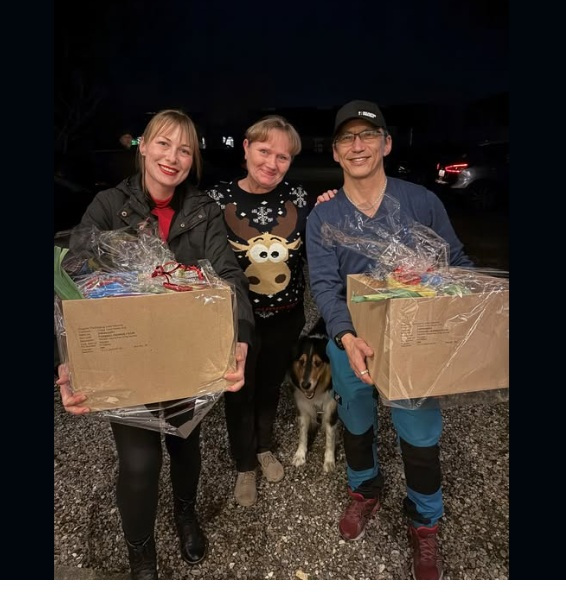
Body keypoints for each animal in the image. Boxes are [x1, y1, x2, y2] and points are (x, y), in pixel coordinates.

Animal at [289, 319, 338, 473]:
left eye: (318, 363)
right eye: (301, 362)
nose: (305, 385)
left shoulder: (331, 409)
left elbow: (330, 437)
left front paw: (329, 461)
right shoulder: (303, 407)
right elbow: (303, 433)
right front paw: (300, 455)